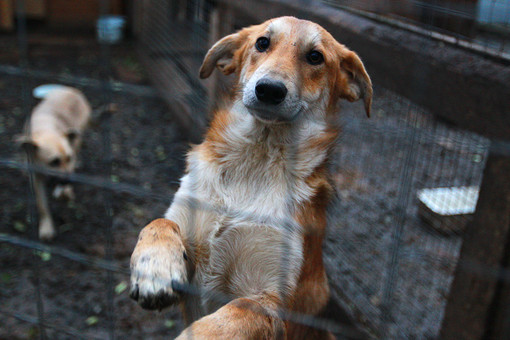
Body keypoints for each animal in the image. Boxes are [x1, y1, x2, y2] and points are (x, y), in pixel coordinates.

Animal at [129, 16, 372, 340]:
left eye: (315, 57)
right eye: (262, 43)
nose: (269, 89)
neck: (255, 161)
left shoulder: (271, 302)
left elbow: (230, 316)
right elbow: (159, 223)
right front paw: (155, 269)